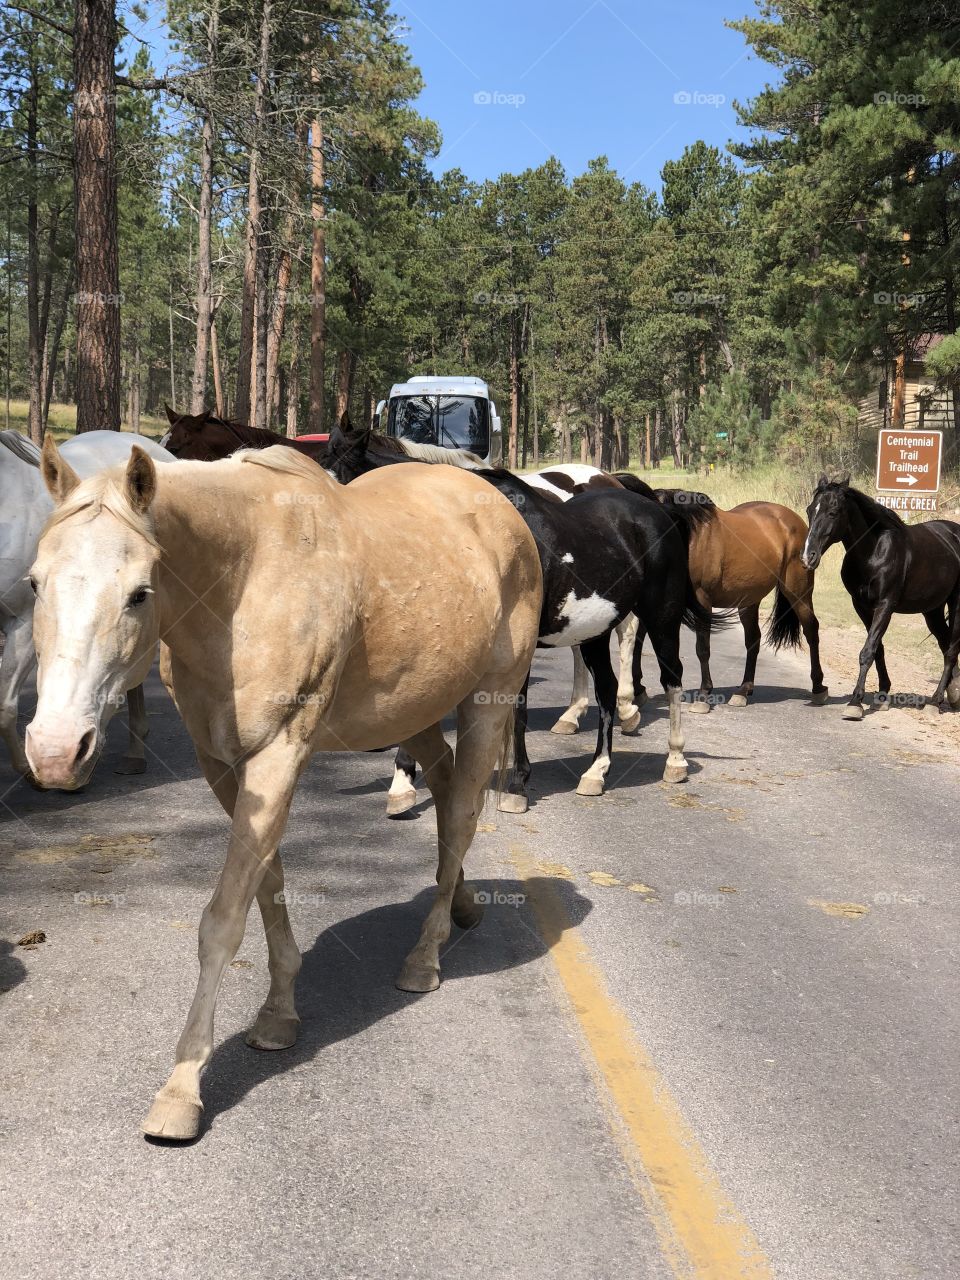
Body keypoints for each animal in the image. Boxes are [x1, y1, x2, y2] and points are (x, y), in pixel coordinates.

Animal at [28, 438, 541, 1140]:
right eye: (34, 582)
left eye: (139, 593)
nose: (55, 752)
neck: (242, 585)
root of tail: (497, 504)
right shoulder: (222, 764)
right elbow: (266, 884)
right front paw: (278, 1015)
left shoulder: (279, 755)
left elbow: (223, 920)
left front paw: (182, 1089)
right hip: (413, 712)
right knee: (440, 790)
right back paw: (462, 904)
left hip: (489, 702)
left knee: (461, 813)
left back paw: (425, 958)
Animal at [324, 425, 712, 813]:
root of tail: (654, 508)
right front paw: (402, 786)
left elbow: (518, 712)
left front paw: (516, 786)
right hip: (594, 632)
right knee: (606, 688)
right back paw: (595, 771)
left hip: (661, 617)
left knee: (671, 678)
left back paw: (674, 759)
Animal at [606, 483, 827, 718]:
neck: (689, 537)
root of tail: (793, 520)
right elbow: (640, 641)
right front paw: (639, 690)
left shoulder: (702, 600)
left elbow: (702, 648)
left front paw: (703, 695)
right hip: (749, 600)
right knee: (753, 639)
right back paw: (743, 691)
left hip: (798, 591)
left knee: (811, 630)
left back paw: (818, 688)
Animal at [801, 474, 960, 718]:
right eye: (810, 510)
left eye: (833, 512)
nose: (808, 557)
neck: (874, 552)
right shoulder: (862, 606)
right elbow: (878, 649)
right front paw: (882, 695)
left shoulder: (885, 605)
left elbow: (868, 650)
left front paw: (855, 703)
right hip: (932, 610)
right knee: (945, 645)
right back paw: (951, 695)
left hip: (956, 604)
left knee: (951, 650)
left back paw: (935, 702)